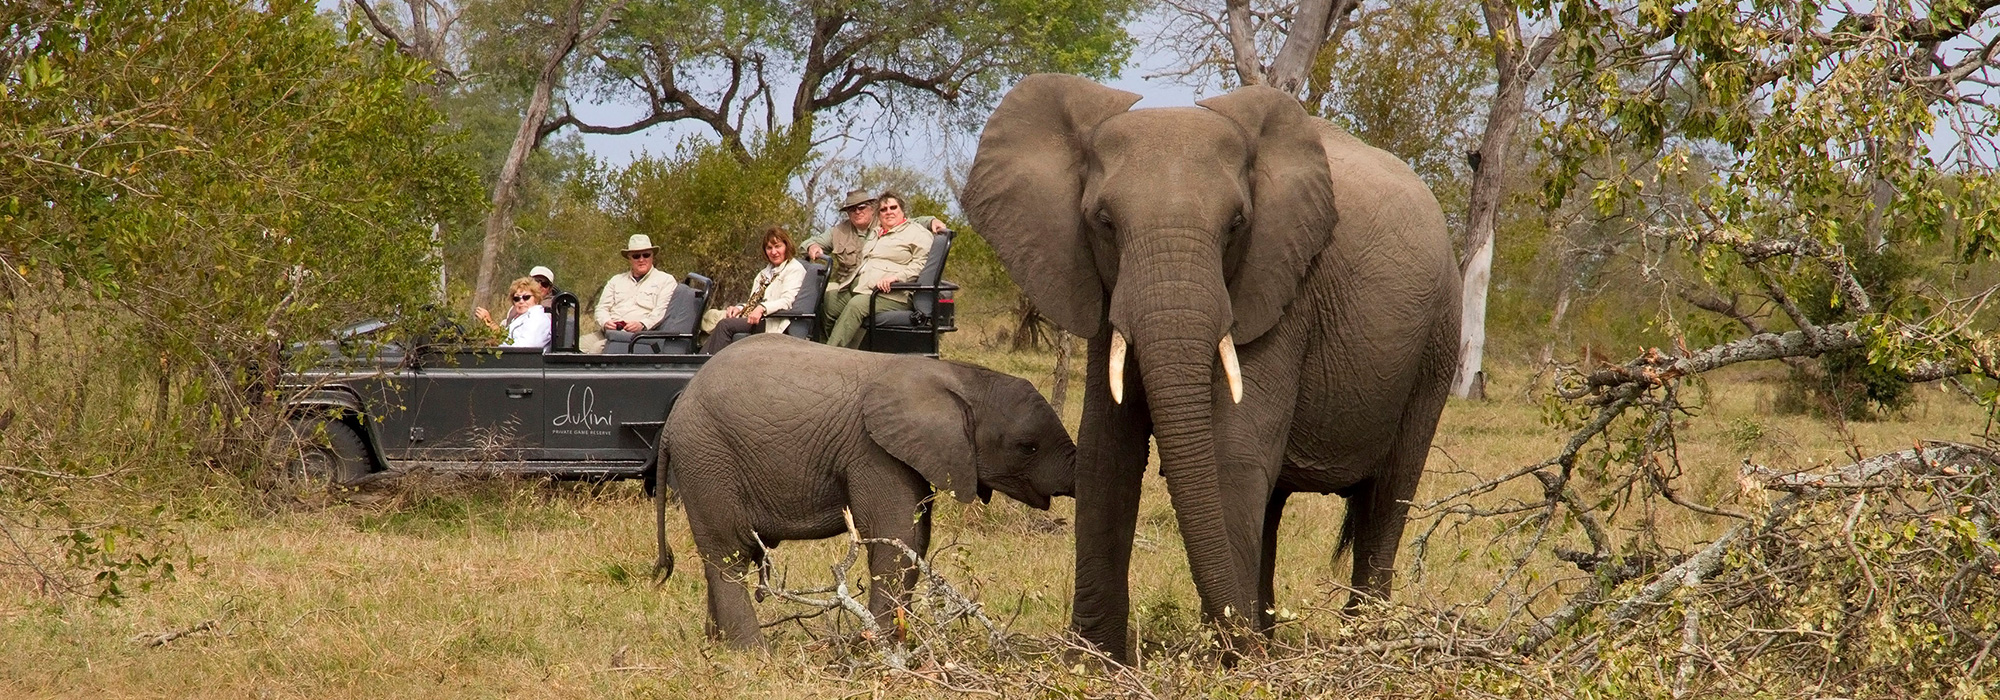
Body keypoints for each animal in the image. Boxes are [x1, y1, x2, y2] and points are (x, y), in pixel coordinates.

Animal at [656, 334, 1080, 652]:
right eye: (1028, 447)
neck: (959, 375)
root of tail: (671, 421)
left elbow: (916, 541)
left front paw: (888, 644)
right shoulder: (873, 451)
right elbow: (895, 538)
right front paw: (876, 648)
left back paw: (716, 644)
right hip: (708, 458)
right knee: (727, 554)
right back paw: (752, 652)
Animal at [960, 76, 1464, 660]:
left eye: (1236, 225)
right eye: (1104, 223)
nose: (1238, 646)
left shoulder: (1280, 288)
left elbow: (1231, 454)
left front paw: (1229, 663)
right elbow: (1107, 450)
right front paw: (1093, 662)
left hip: (1438, 339)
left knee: (1389, 494)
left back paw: (1356, 645)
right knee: (1277, 502)